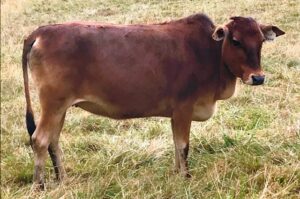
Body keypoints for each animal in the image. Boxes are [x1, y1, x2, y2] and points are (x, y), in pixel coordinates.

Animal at [21, 13, 284, 188]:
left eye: (260, 41)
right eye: (236, 40)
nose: (258, 77)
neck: (211, 53)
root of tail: (41, 32)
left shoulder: (176, 113)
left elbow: (177, 146)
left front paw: (177, 173)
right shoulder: (184, 108)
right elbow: (183, 146)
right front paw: (186, 177)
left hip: (60, 107)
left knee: (53, 141)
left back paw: (62, 178)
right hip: (53, 104)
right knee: (40, 139)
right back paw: (39, 185)